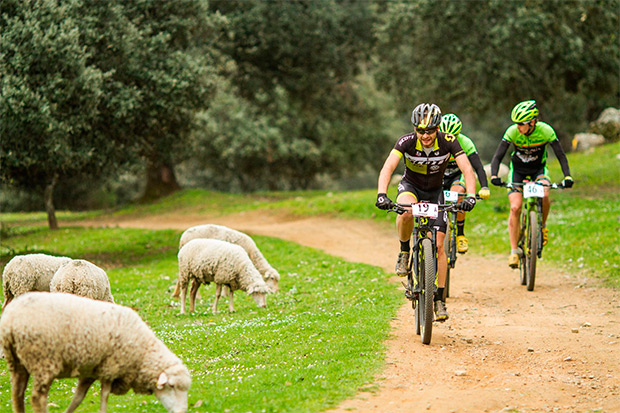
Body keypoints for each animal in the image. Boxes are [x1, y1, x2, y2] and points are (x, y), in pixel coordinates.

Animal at [0, 292, 190, 410]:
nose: (182, 411)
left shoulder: (90, 371)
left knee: (17, 396)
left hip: (16, 362)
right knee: (37, 398)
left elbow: (78, 398)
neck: (142, 353)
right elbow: (104, 397)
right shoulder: (110, 368)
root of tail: (10, 320)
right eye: (172, 386)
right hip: (42, 360)